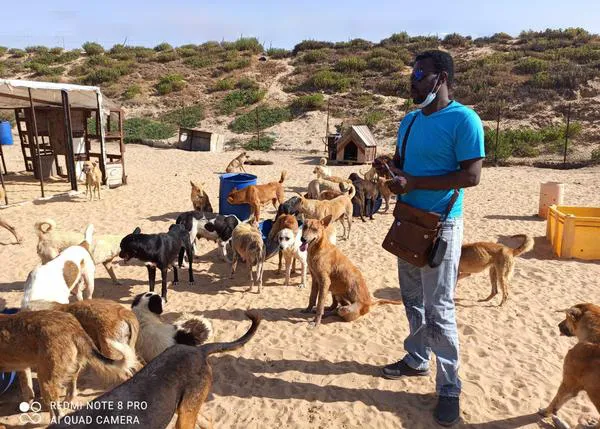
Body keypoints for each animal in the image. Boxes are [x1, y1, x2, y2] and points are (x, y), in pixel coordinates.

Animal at [0, 310, 136, 416]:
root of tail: (74, 328)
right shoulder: (23, 368)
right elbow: (27, 390)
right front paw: (26, 405)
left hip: (45, 380)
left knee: (57, 413)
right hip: (70, 370)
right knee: (71, 391)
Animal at [540, 300, 600, 428]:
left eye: (566, 317)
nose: (558, 325)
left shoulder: (568, 383)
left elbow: (555, 401)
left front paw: (545, 412)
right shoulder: (573, 387)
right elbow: (558, 404)